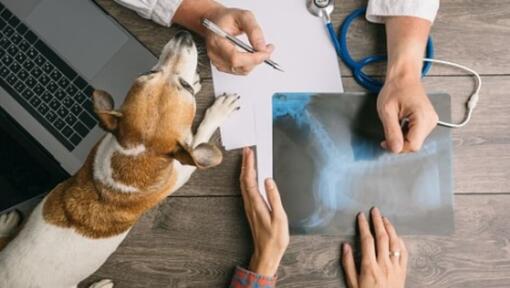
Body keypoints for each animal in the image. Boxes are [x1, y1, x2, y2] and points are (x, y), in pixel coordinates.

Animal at [0, 30, 239, 286]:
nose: (183, 35)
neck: (137, 153)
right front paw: (218, 110)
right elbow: (199, 136)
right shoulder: (182, 169)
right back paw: (100, 284)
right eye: (149, 73)